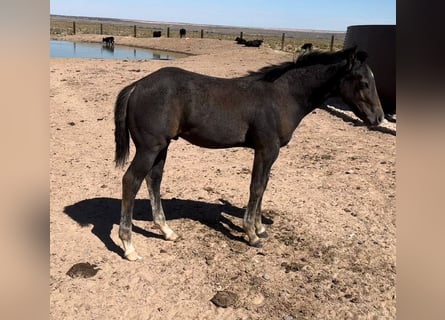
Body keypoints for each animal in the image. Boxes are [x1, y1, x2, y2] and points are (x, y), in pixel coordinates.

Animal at [113, 46, 382, 260]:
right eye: (364, 82)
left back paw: (167, 231)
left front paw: (261, 228)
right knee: (131, 181)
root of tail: (136, 86)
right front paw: (252, 234)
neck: (282, 97)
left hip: (162, 147)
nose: (378, 118)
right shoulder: (266, 150)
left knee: (153, 180)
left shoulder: (269, 153)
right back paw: (129, 246)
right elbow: (257, 187)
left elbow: (264, 185)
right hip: (149, 148)